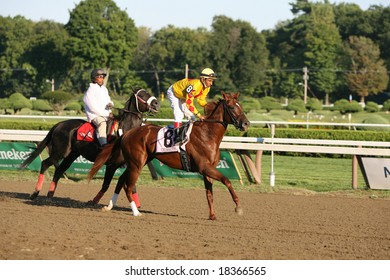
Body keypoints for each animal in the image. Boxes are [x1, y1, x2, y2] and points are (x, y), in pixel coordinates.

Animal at [88, 92, 250, 221]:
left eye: (240, 105)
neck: (207, 134)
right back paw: (136, 213)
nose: (246, 123)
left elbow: (209, 193)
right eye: (231, 107)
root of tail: (128, 133)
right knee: (128, 186)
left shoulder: (207, 170)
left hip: (139, 162)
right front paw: (238, 207)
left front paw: (212, 216)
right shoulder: (205, 167)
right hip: (136, 163)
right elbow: (227, 180)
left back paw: (109, 206)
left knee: (121, 181)